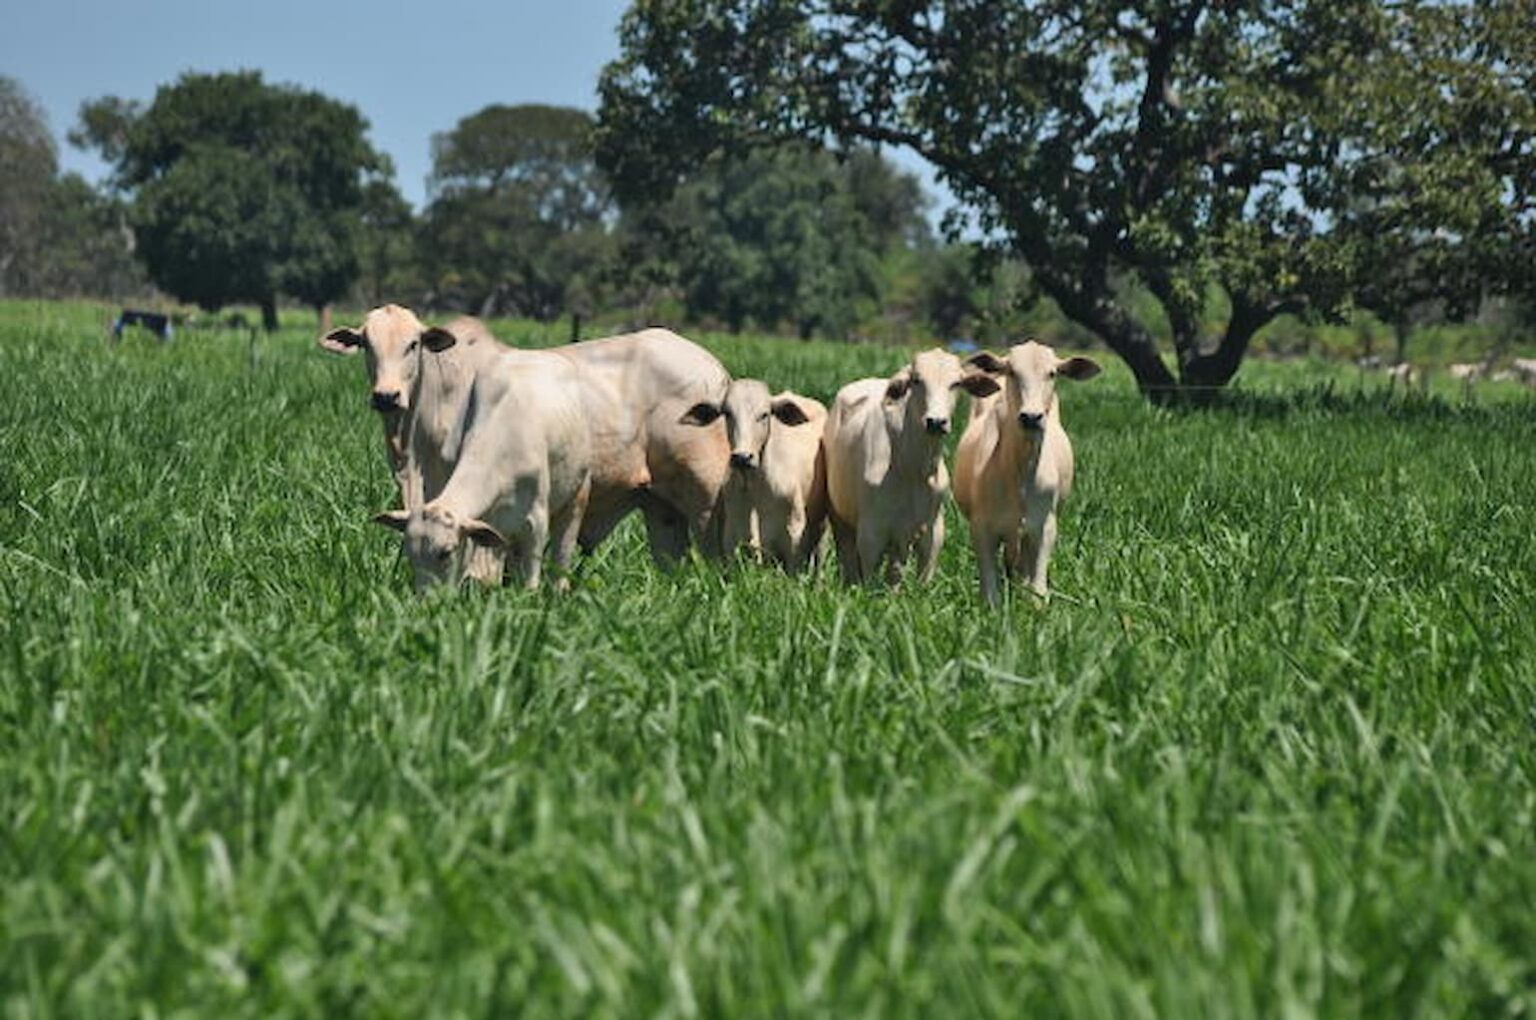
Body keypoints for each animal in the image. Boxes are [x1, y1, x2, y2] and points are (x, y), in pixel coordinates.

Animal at [685, 380, 829, 574]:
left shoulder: (794, 539)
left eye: (764, 414)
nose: (742, 457)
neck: (754, 487)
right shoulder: (733, 540)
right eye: (728, 413)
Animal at [823, 347, 989, 580]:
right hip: (840, 518)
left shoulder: (932, 533)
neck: (913, 468)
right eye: (917, 380)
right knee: (848, 560)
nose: (936, 422)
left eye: (956, 383)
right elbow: (869, 580)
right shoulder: (871, 533)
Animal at [952, 342, 1099, 602]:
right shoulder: (981, 529)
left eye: (1052, 373)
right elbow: (990, 591)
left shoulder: (1044, 527)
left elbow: (1038, 589)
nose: (1031, 417)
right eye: (1012, 371)